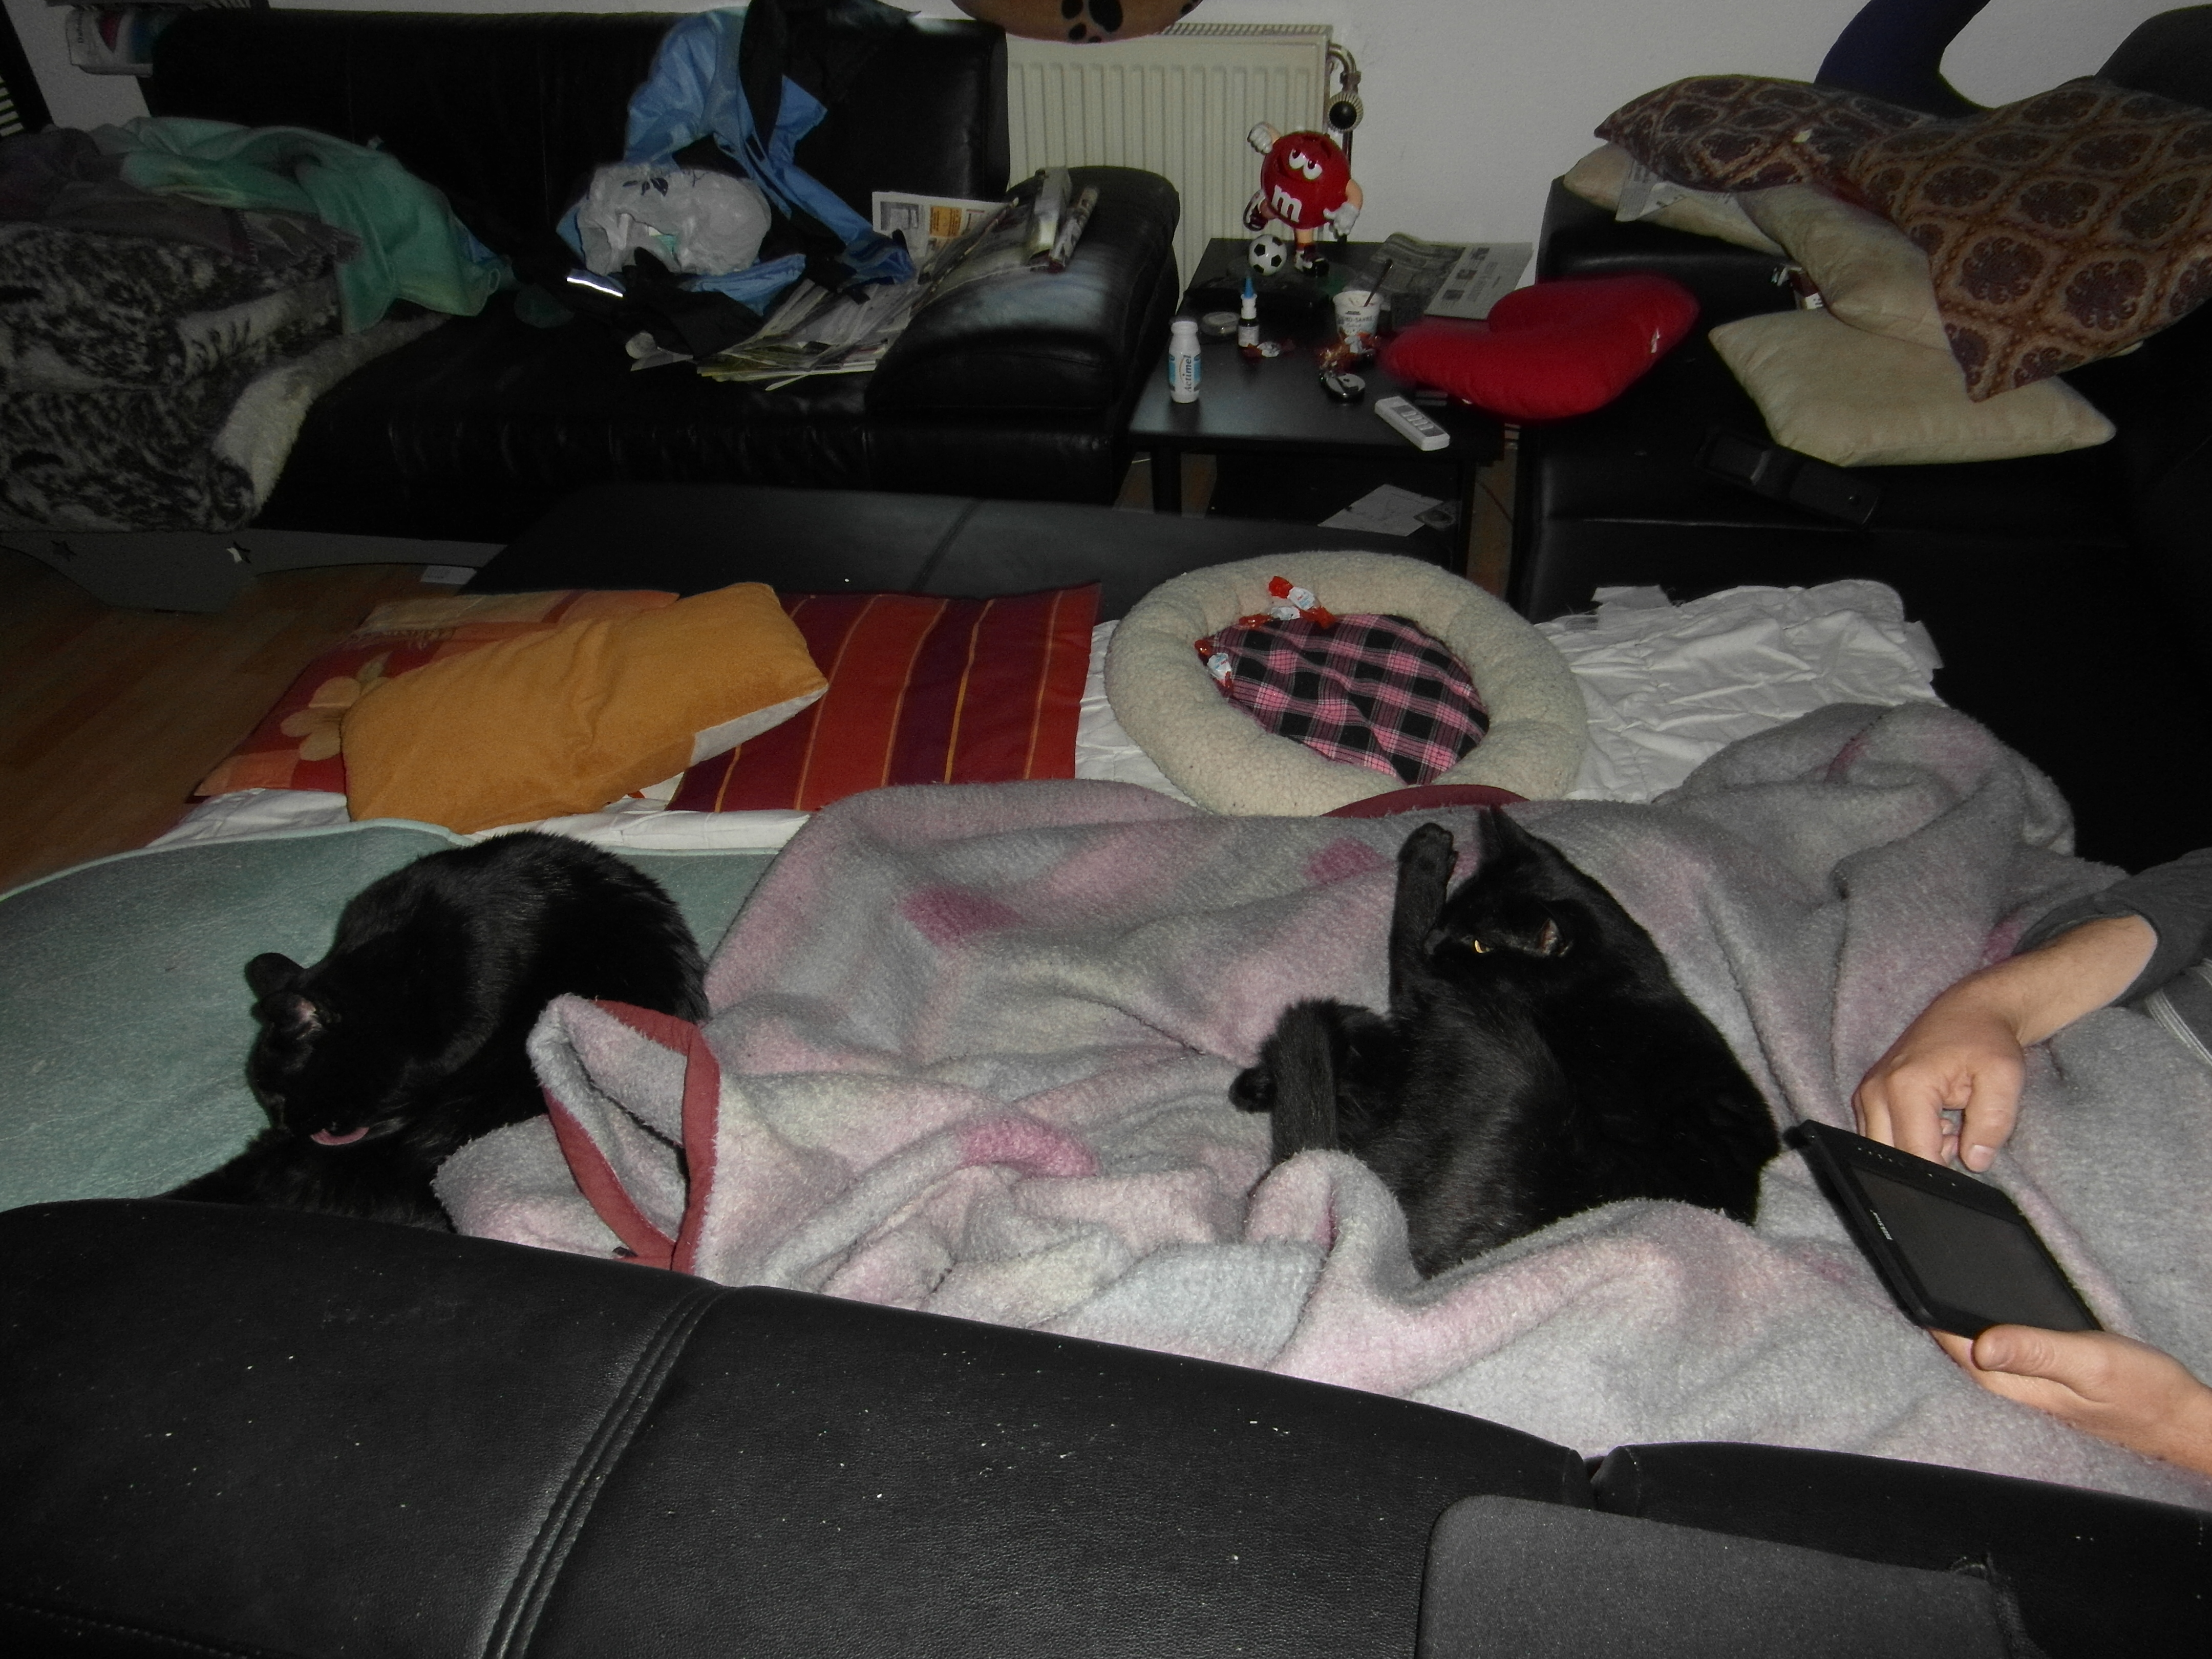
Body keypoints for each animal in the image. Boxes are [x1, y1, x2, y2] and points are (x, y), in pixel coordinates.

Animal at [1231, 811, 1778, 1276]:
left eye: (1479, 943)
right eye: (1453, 915)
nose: (1436, 944)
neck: (1610, 982)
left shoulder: (1437, 996)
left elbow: (1402, 954)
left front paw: (1428, 855)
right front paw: (1258, 1083)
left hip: (1488, 1031)